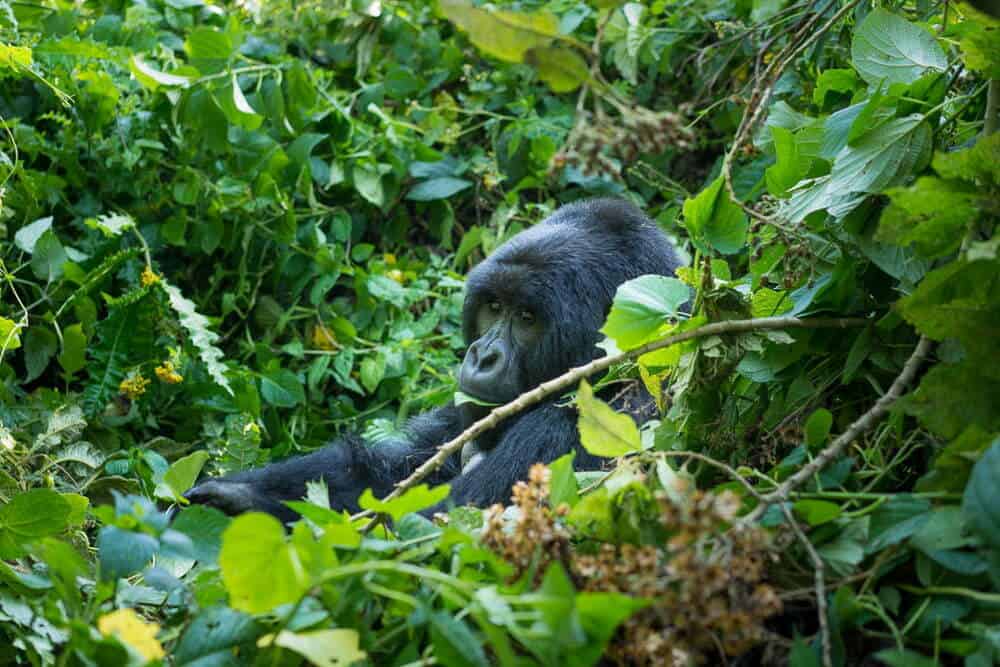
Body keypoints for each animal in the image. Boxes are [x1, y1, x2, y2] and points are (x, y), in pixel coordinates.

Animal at [187, 198, 680, 520]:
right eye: (493, 307)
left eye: (527, 318)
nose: (482, 356)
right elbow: (389, 476)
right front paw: (239, 490)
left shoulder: (575, 431)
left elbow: (434, 525)